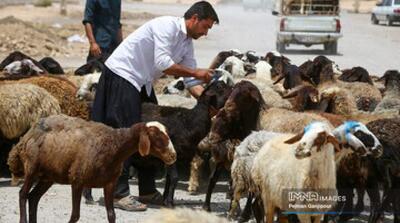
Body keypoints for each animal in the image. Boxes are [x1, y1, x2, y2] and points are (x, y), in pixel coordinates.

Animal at [7, 115, 177, 223]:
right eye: (156, 136)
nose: (173, 155)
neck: (114, 145)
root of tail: (27, 134)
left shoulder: (109, 183)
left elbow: (112, 215)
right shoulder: (77, 180)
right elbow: (75, 216)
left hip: (48, 176)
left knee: (33, 198)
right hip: (32, 168)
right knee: (23, 194)